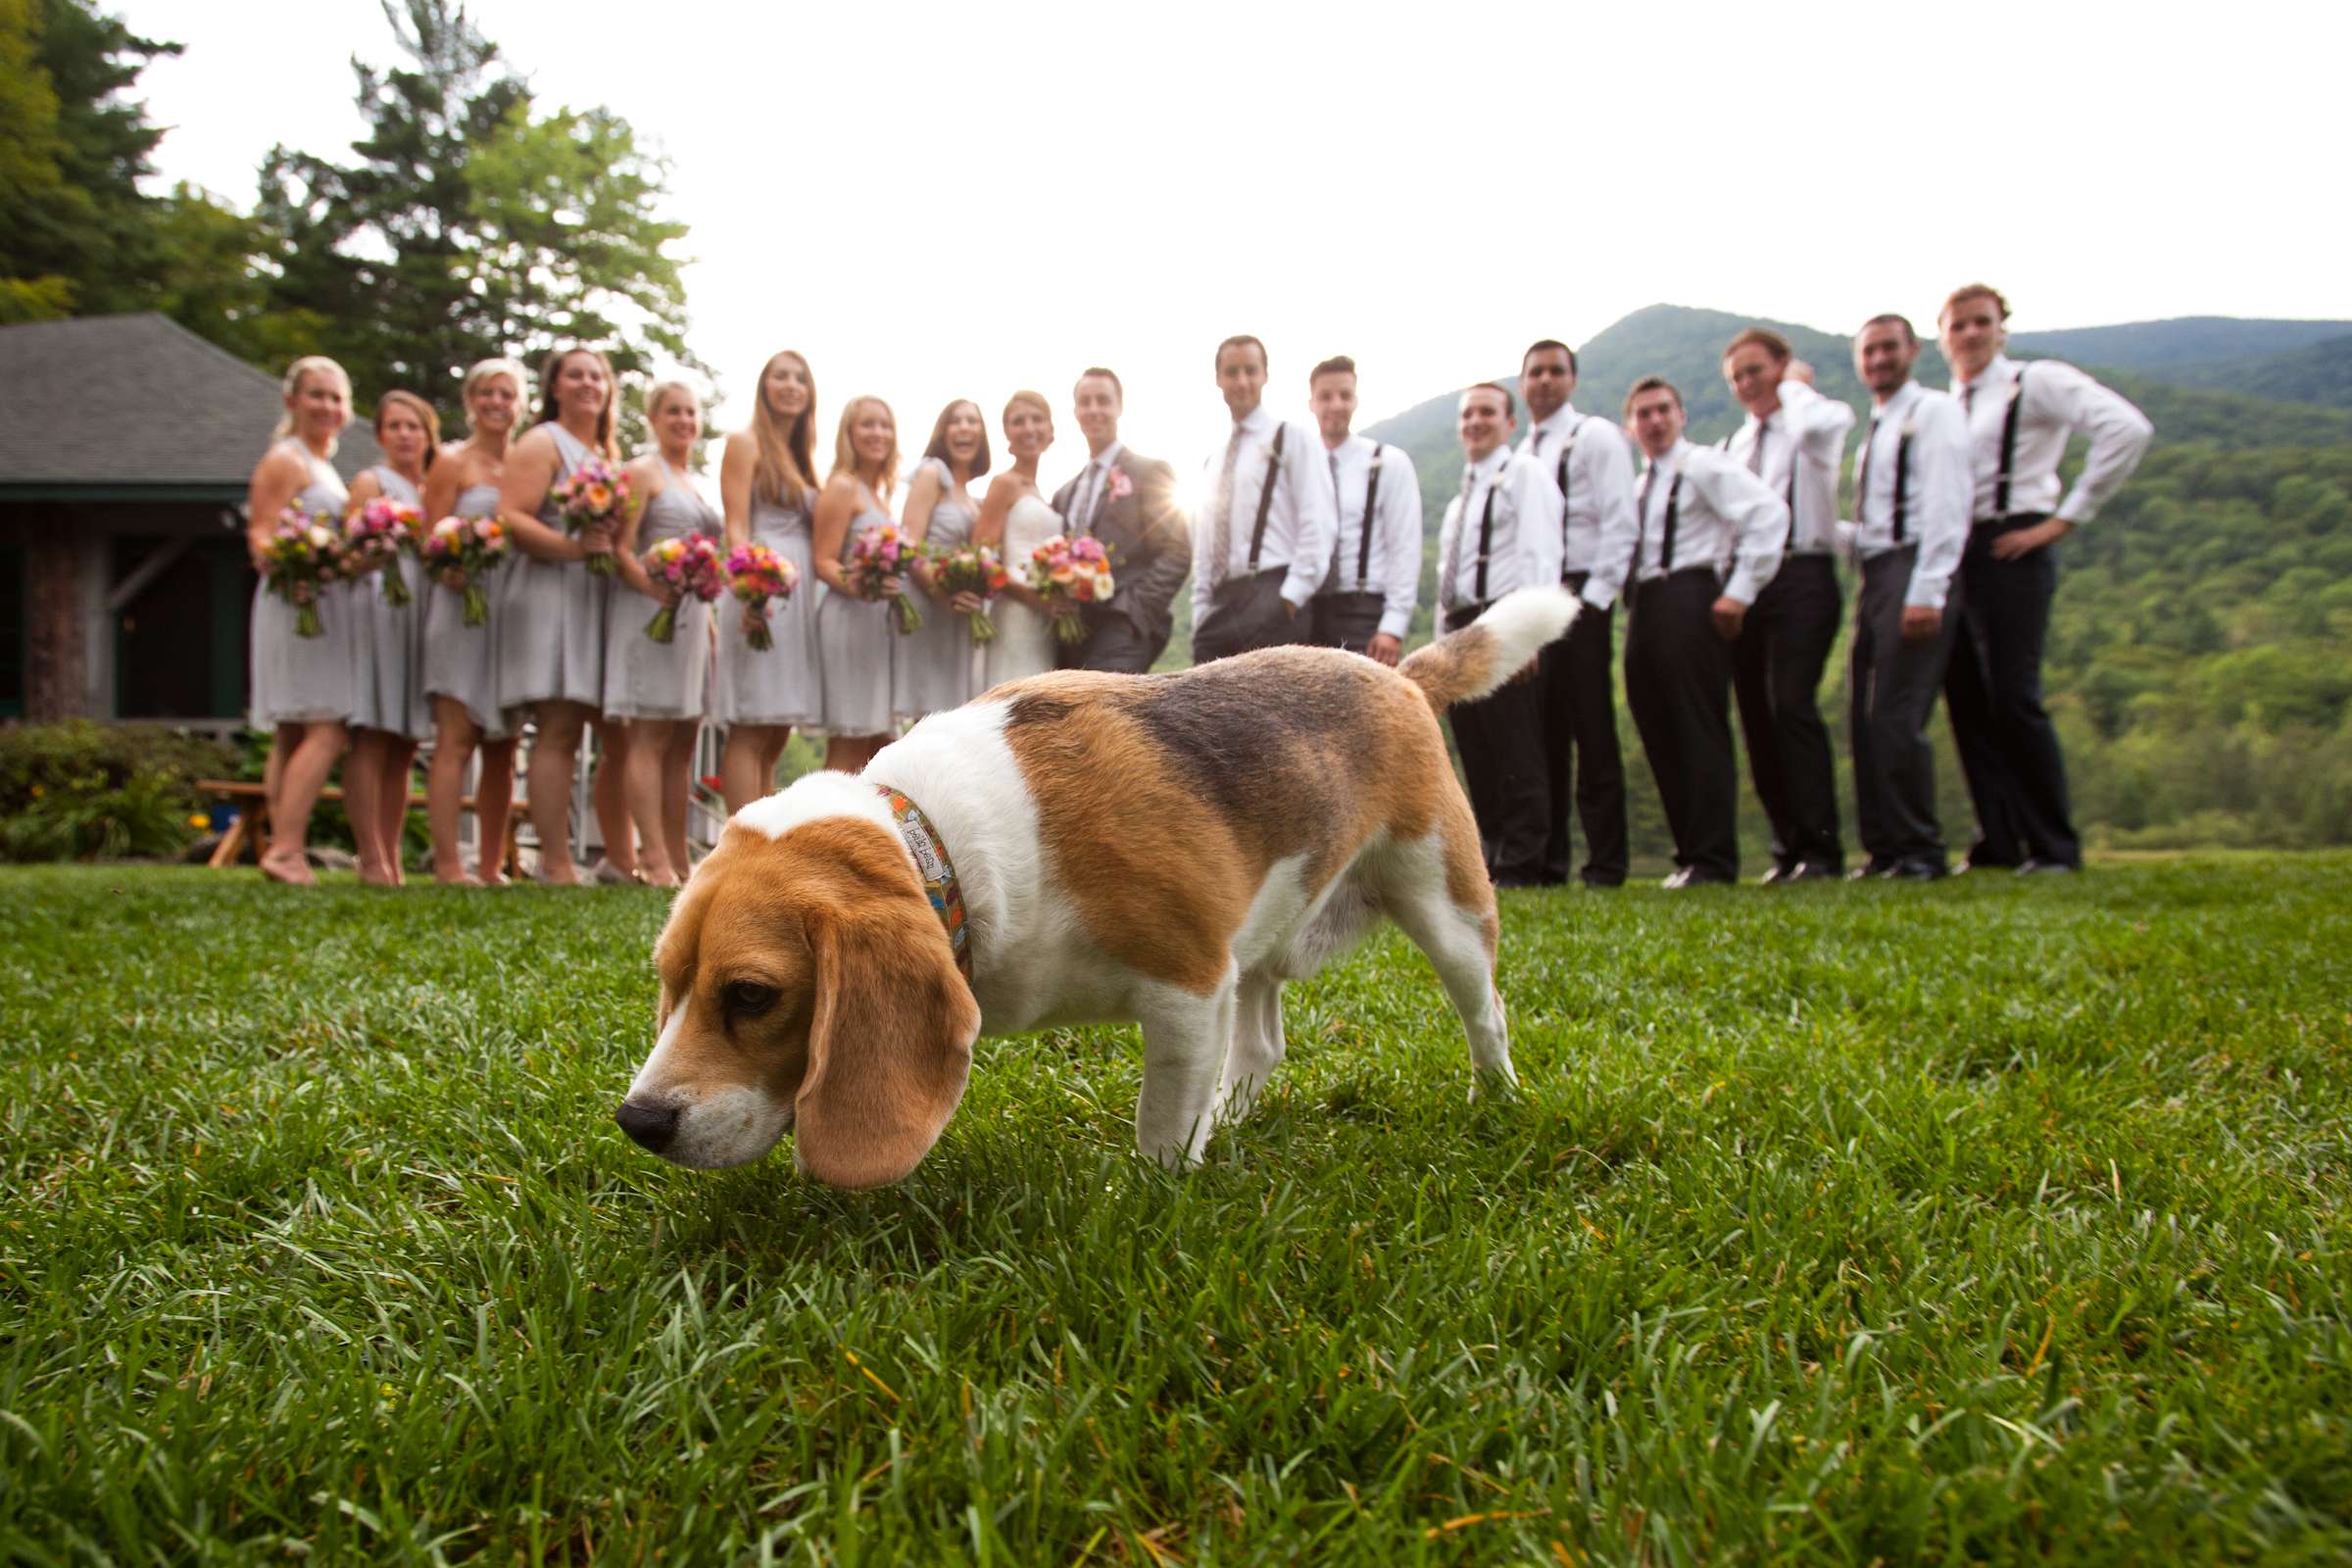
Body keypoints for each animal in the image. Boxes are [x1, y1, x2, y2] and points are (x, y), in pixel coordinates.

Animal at [620, 587, 1580, 1189]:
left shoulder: (1189, 988)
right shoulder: (1213, 981)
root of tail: (1397, 673)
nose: (638, 1123)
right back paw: (1234, 1119)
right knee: (1263, 1044)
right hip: (1266, 935)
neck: (944, 841)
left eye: (752, 995)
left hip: (1443, 899)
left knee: (1485, 1011)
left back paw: (1495, 1102)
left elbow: (1160, 1123)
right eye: (669, 983)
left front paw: (1150, 1200)